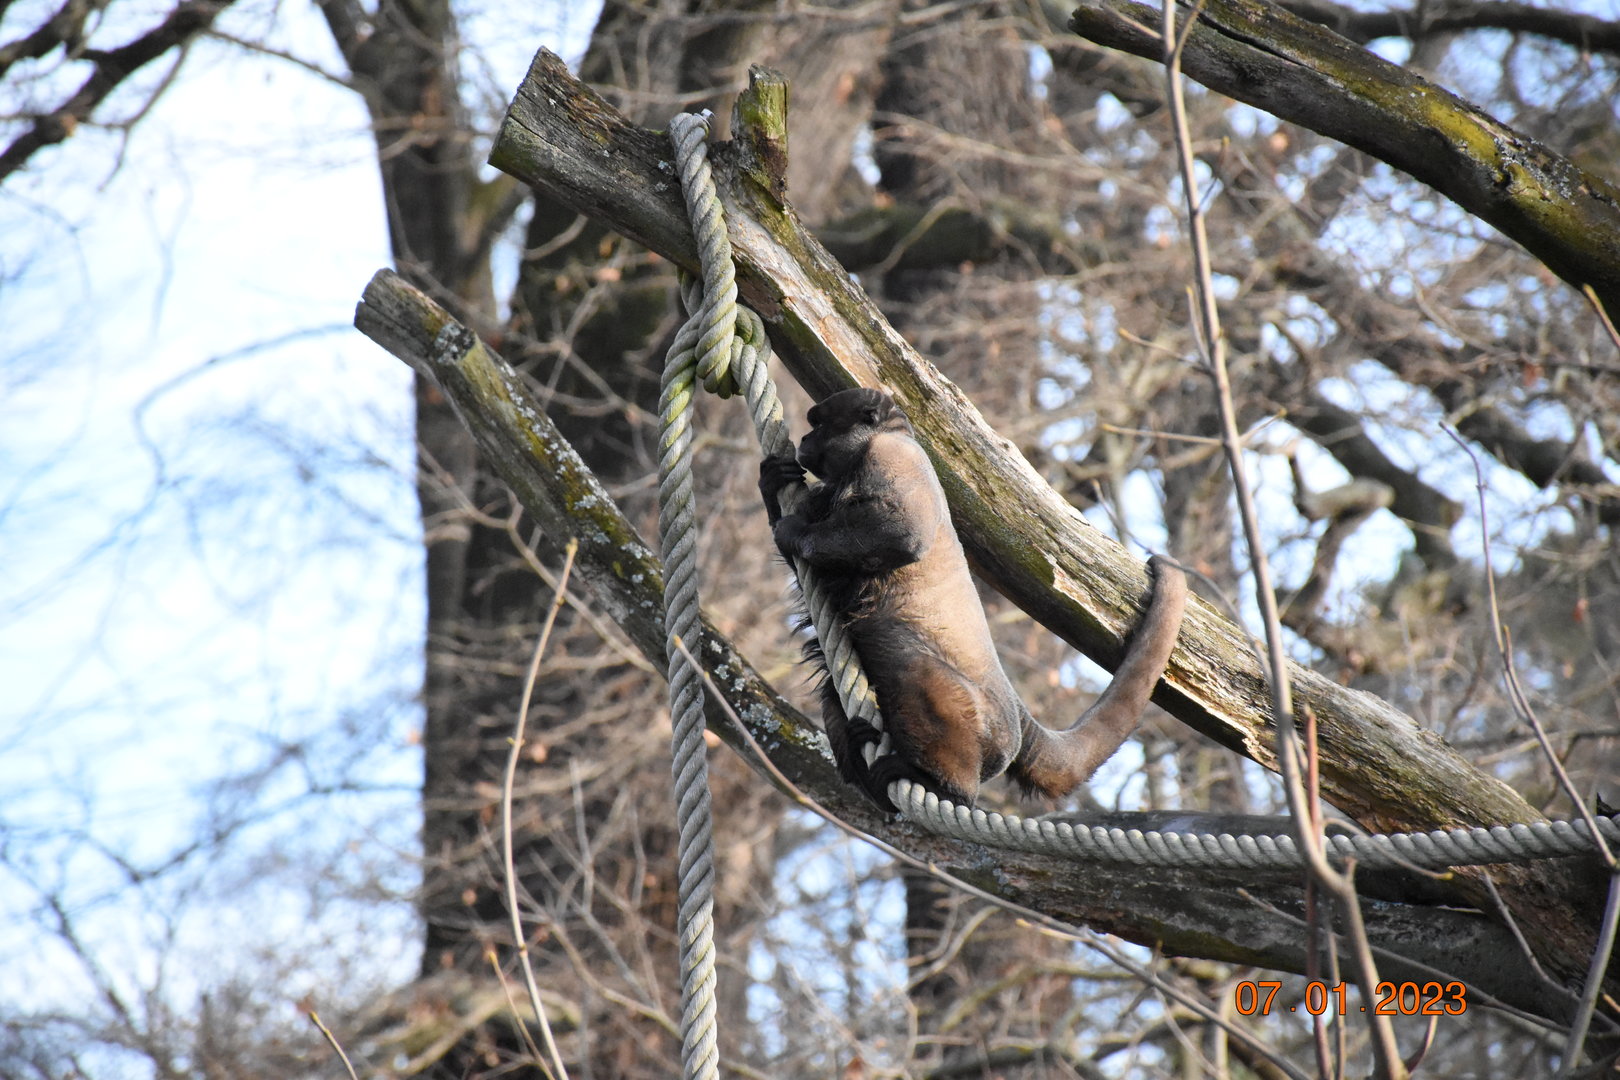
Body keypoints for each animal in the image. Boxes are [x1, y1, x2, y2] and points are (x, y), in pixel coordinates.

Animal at [759, 387, 1188, 812]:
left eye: (819, 424)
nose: (805, 438)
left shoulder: (894, 454)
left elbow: (902, 533)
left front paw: (794, 531)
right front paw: (770, 482)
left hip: (982, 727)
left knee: (911, 665)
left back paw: (949, 789)